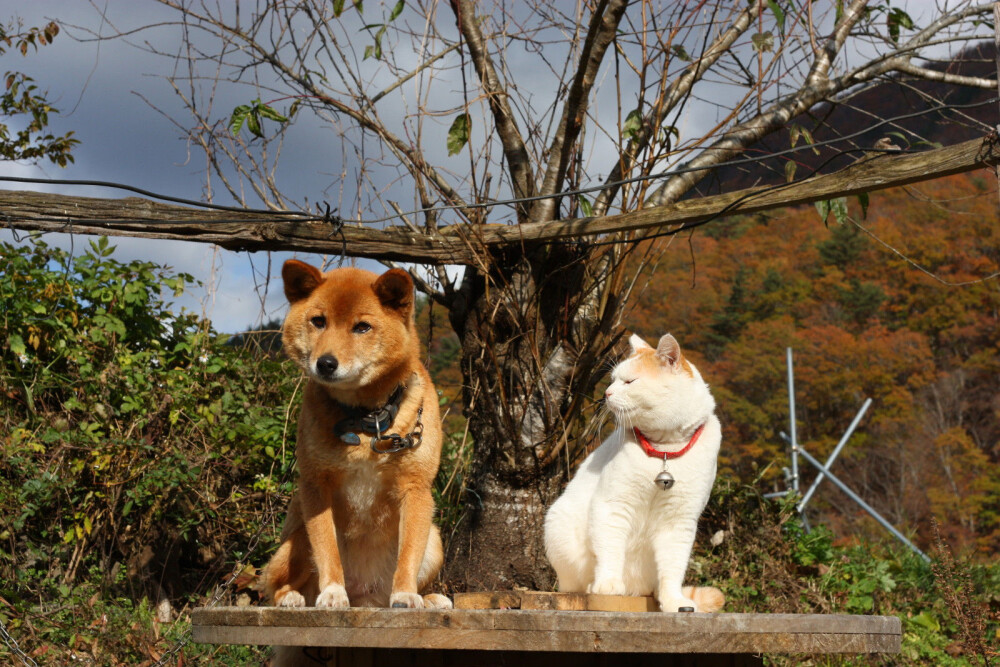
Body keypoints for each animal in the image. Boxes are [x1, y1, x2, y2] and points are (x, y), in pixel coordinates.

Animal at [262, 260, 454, 620]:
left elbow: (408, 555)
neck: (367, 420)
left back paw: (429, 598)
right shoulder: (316, 485)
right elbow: (327, 549)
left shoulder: (416, 488)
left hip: (434, 541)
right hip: (297, 540)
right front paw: (333, 593)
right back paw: (292, 597)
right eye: (318, 321)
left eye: (362, 327)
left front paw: (406, 595)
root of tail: (364, 596)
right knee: (275, 585)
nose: (325, 363)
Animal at [544, 332, 724, 612]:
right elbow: (610, 549)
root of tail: (637, 590)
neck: (664, 451)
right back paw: (593, 586)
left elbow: (674, 566)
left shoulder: (680, 520)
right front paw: (607, 584)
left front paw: (674, 601)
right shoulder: (612, 505)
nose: (606, 393)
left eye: (629, 381)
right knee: (573, 584)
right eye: (613, 379)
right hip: (558, 525)